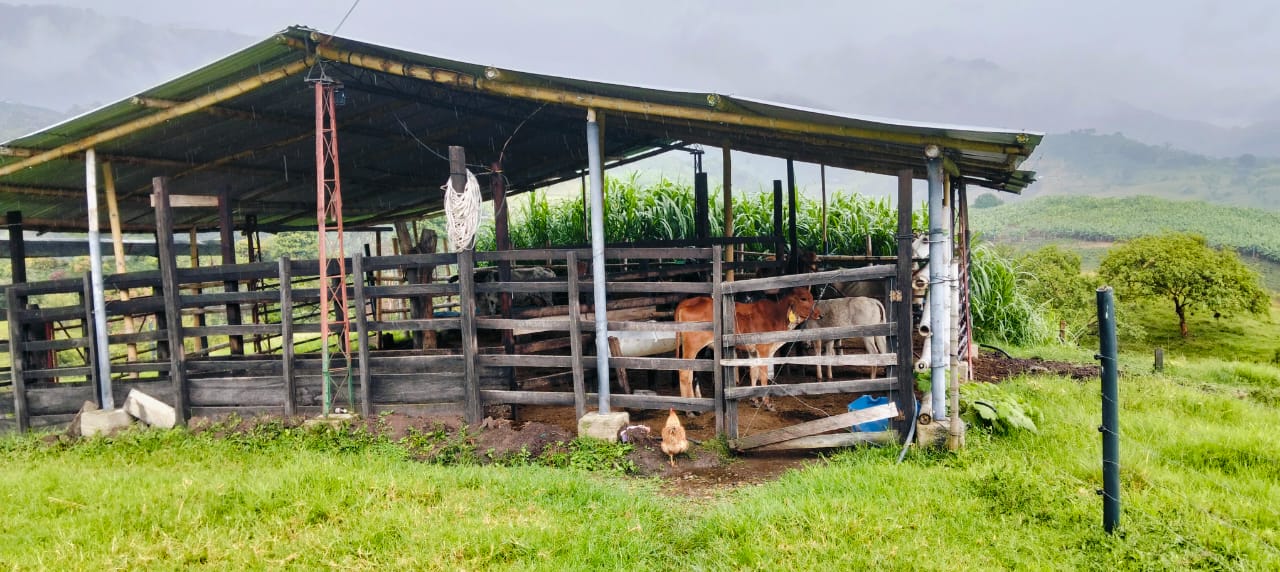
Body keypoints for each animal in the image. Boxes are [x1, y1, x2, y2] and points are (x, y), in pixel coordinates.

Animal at [674, 286, 821, 412]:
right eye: (803, 298)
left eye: (812, 297)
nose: (819, 315)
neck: (776, 316)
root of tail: (686, 302)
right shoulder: (763, 350)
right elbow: (763, 376)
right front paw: (767, 403)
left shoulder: (753, 352)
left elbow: (753, 374)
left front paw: (754, 400)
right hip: (692, 347)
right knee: (684, 372)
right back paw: (690, 409)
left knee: (691, 372)